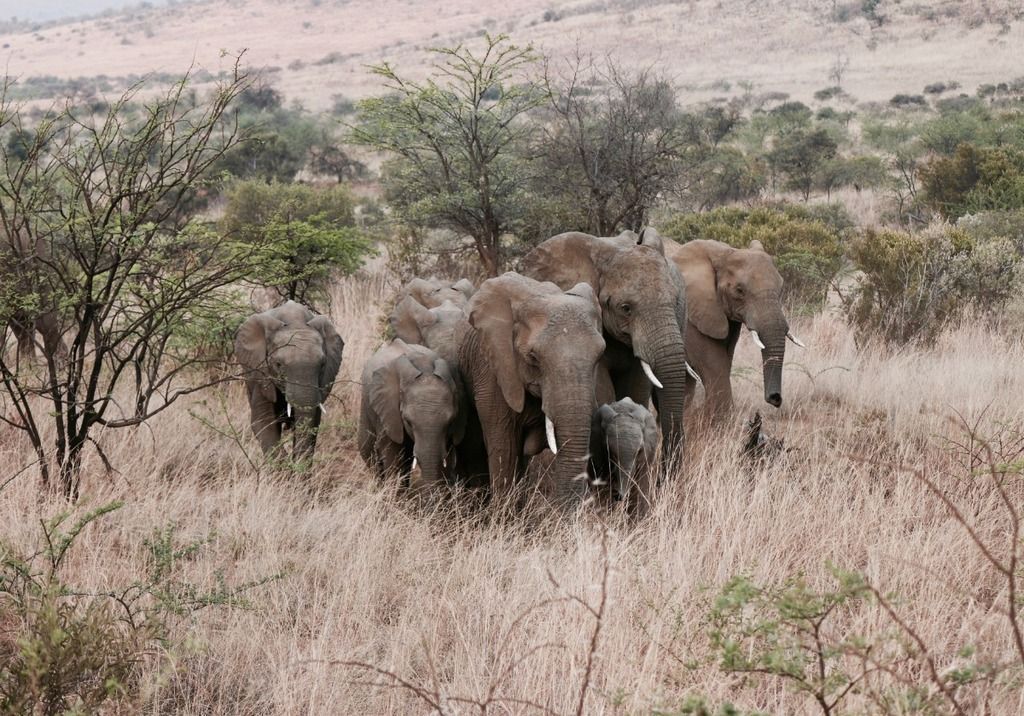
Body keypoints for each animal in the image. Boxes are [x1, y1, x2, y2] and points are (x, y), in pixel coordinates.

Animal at [234, 301, 344, 458]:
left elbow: (313, 422)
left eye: (323, 364)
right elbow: (263, 422)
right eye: (278, 365)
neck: (295, 322)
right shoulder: (261, 373)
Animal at [360, 338, 468, 489]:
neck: (424, 366)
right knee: (368, 452)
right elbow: (392, 453)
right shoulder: (387, 411)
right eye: (408, 421)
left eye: (451, 422)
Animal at [667, 237, 802, 417]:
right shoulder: (691, 316)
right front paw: (719, 421)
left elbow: (725, 361)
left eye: (781, 288)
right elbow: (714, 364)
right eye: (739, 290)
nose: (775, 398)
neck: (723, 252)